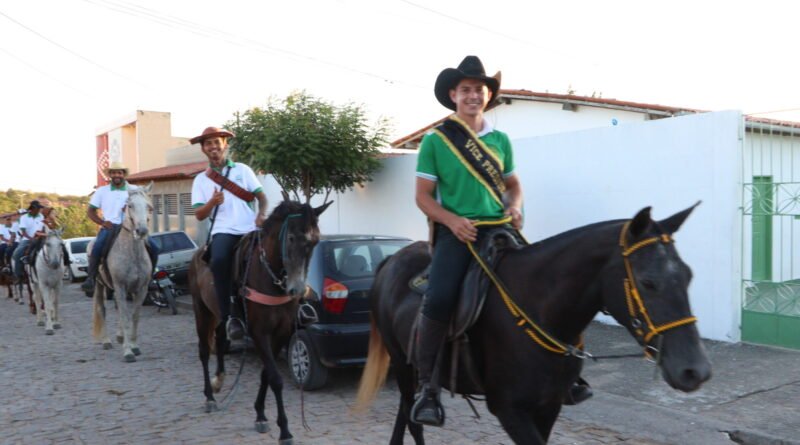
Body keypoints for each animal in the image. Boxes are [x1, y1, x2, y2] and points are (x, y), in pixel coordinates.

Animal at [92, 183, 153, 360]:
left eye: (148, 206)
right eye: (130, 205)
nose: (141, 231)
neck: (132, 253)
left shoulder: (140, 289)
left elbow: (134, 317)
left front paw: (134, 346)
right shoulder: (120, 287)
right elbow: (125, 317)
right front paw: (128, 352)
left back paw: (119, 337)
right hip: (99, 285)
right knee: (102, 310)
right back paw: (106, 341)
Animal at [189, 199, 330, 442]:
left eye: (315, 241)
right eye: (291, 238)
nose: (297, 290)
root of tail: (198, 253)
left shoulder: (281, 333)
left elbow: (266, 374)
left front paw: (261, 414)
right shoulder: (259, 333)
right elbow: (275, 378)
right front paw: (284, 430)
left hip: (219, 314)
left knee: (220, 339)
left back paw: (219, 380)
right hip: (202, 311)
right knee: (204, 351)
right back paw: (209, 397)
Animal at [356, 203, 712, 442]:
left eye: (689, 275)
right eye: (648, 282)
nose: (695, 370)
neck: (539, 307)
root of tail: (391, 259)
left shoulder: (548, 406)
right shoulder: (510, 410)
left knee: (404, 413)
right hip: (403, 363)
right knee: (412, 417)